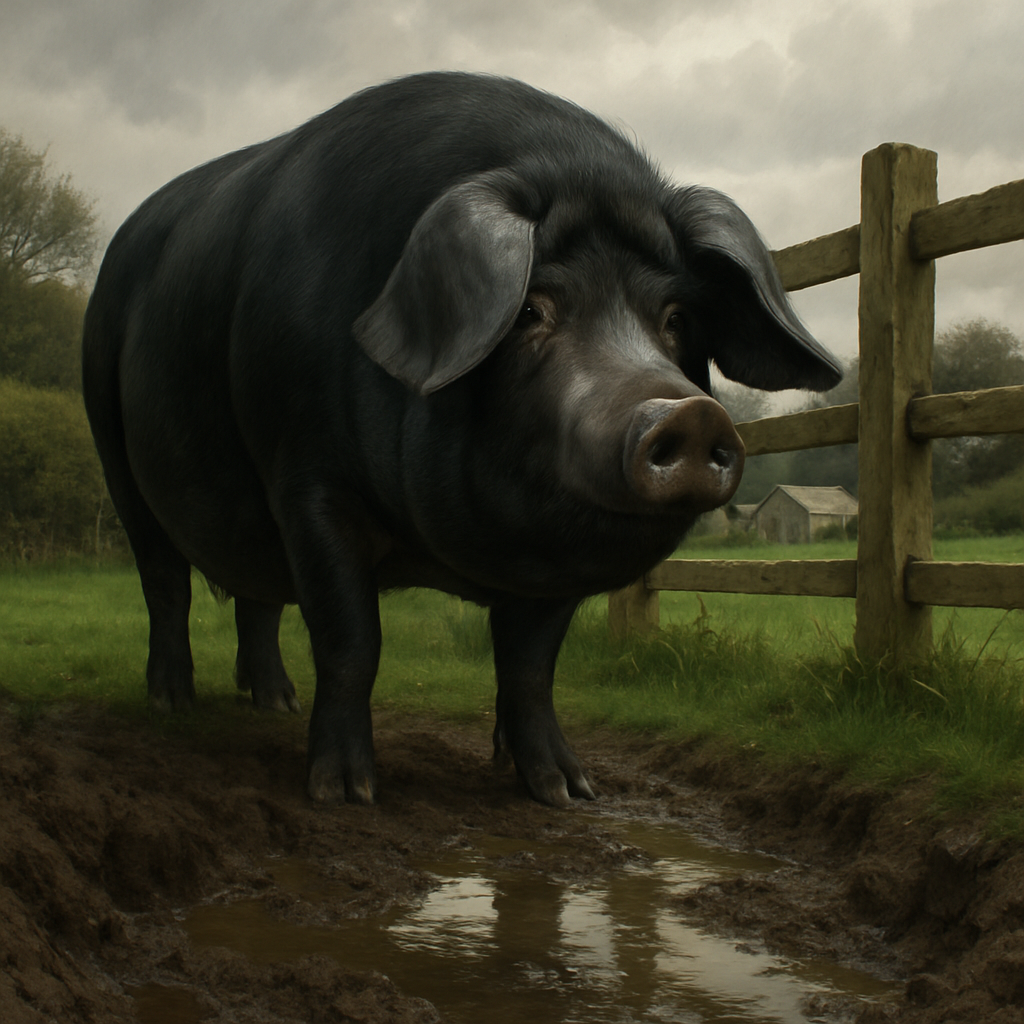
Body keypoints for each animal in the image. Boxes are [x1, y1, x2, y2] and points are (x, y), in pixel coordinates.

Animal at [82, 72, 841, 807]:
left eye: (678, 318)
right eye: (529, 309)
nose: (688, 414)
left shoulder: (551, 556)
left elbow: (531, 666)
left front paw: (567, 793)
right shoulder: (308, 486)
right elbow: (351, 640)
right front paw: (345, 795)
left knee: (257, 595)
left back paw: (274, 705)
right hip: (115, 456)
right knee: (165, 583)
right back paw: (172, 706)